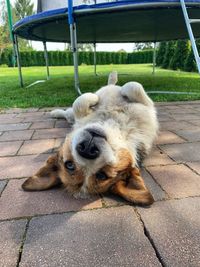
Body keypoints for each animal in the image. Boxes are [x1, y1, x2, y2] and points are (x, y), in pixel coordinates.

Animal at [21, 72, 159, 206]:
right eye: (69, 165)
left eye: (102, 175)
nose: (87, 149)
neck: (111, 123)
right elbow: (81, 101)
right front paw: (95, 97)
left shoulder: (146, 108)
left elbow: (132, 86)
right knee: (69, 113)